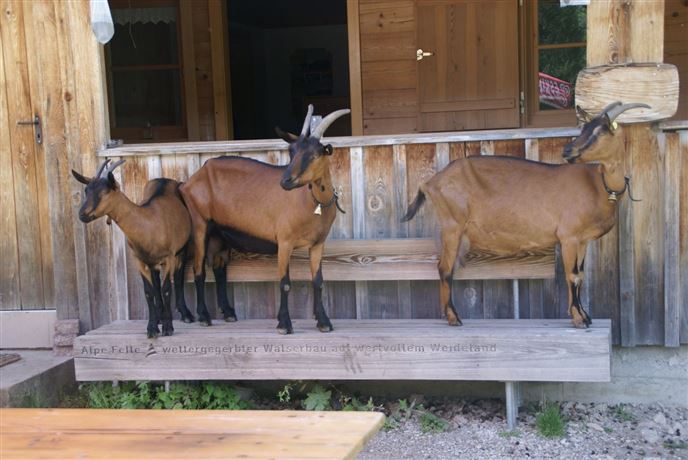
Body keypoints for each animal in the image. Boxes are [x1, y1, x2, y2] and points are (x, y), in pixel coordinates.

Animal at [71, 160, 195, 336]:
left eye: (105, 192)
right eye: (87, 190)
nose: (82, 214)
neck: (148, 223)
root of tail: (164, 179)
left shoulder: (169, 256)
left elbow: (166, 289)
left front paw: (168, 328)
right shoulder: (139, 260)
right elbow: (149, 292)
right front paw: (152, 328)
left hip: (182, 249)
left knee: (178, 278)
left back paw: (185, 315)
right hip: (152, 260)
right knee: (156, 282)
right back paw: (159, 316)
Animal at [180, 104, 350, 334]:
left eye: (315, 155)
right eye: (292, 151)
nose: (286, 181)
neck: (313, 201)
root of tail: (190, 181)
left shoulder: (317, 244)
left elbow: (318, 281)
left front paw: (323, 322)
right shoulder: (285, 241)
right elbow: (285, 283)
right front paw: (284, 324)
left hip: (219, 235)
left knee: (219, 269)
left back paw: (229, 313)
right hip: (200, 225)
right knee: (198, 269)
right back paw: (204, 316)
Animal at [400, 102, 648, 328]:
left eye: (600, 130)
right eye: (584, 128)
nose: (567, 151)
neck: (599, 185)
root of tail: (430, 183)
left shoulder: (582, 241)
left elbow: (581, 276)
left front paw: (586, 316)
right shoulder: (568, 237)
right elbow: (572, 275)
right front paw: (578, 320)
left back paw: (447, 316)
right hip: (452, 225)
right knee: (444, 269)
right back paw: (454, 318)